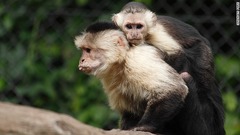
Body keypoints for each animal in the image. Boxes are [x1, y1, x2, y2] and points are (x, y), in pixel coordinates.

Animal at [112, 1, 225, 135]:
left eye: (139, 26)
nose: (134, 34)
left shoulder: (157, 34)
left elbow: (178, 56)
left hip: (204, 53)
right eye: (129, 26)